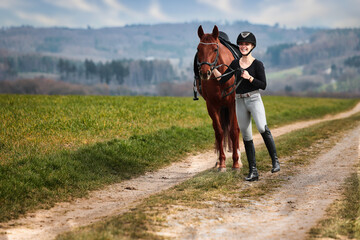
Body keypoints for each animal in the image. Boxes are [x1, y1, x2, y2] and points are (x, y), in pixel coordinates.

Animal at [195, 24, 240, 171]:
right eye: (198, 49)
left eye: (215, 49)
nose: (205, 73)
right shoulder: (212, 105)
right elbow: (219, 132)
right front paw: (222, 163)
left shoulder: (232, 104)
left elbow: (233, 131)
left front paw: (236, 163)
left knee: (237, 129)